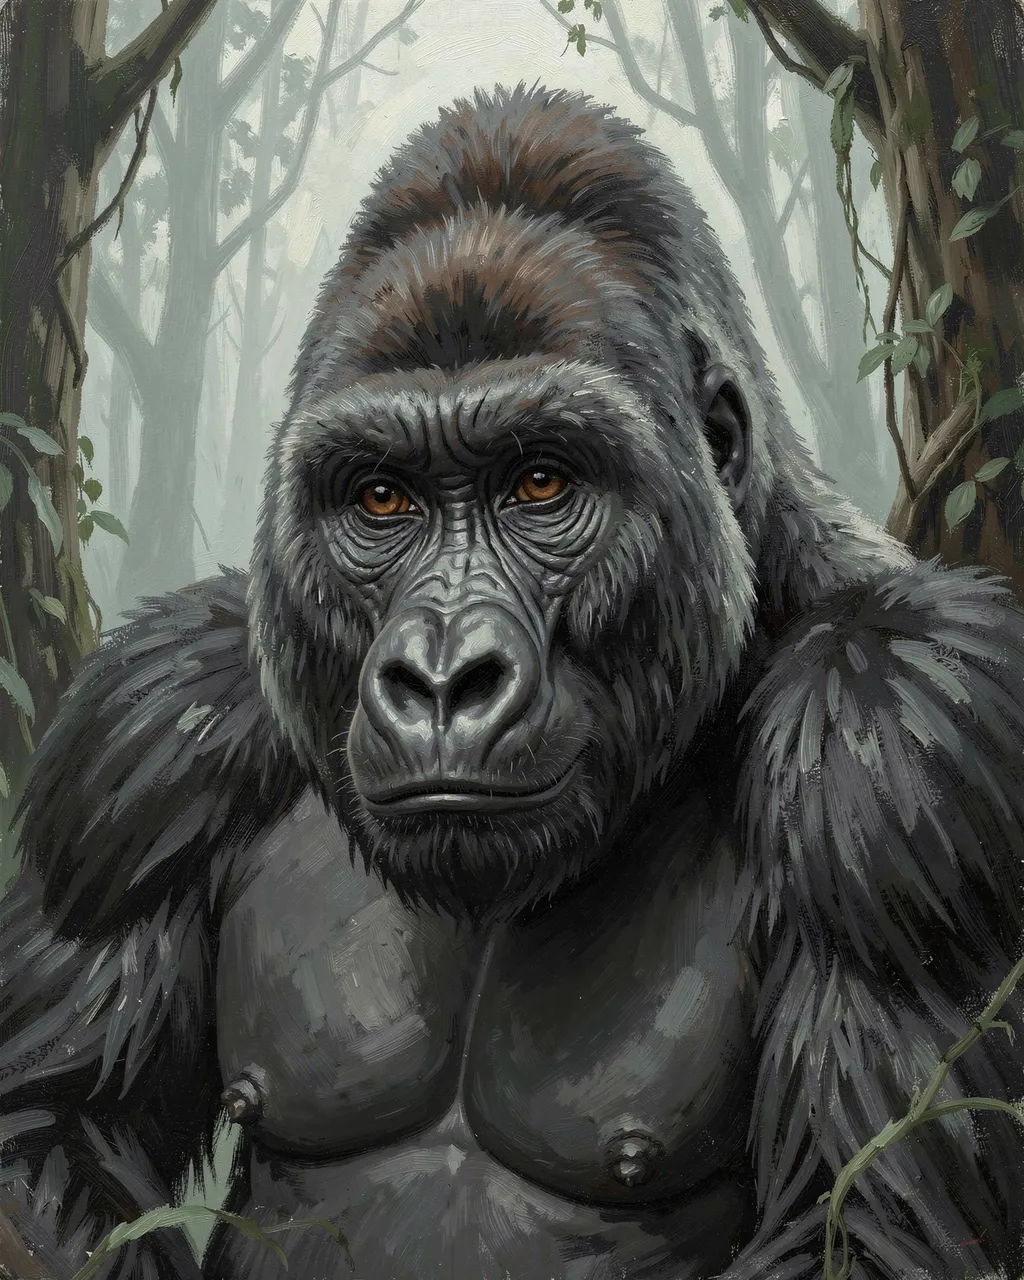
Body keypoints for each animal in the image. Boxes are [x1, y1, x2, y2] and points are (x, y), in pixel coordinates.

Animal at [2, 83, 1024, 1280]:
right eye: (381, 498)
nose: (443, 677)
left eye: (541, 482)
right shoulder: (145, 739)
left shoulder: (898, 743)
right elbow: (51, 1128)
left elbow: (864, 1223)